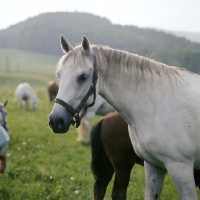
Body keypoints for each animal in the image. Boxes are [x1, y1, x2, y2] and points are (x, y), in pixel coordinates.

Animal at [48, 35, 200, 199]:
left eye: (83, 77)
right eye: (59, 75)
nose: (56, 121)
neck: (157, 103)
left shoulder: (180, 169)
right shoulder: (156, 166)